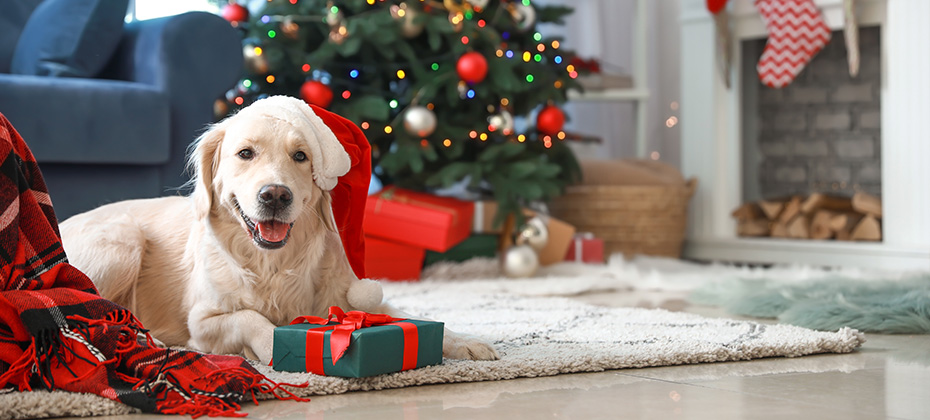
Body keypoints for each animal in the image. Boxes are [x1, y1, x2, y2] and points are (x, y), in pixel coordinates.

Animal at [60, 96, 496, 364]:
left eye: (301, 156)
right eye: (245, 153)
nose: (275, 195)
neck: (272, 264)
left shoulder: (347, 295)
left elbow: (405, 314)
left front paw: (466, 341)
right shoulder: (203, 322)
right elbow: (252, 319)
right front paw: (276, 347)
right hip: (123, 242)